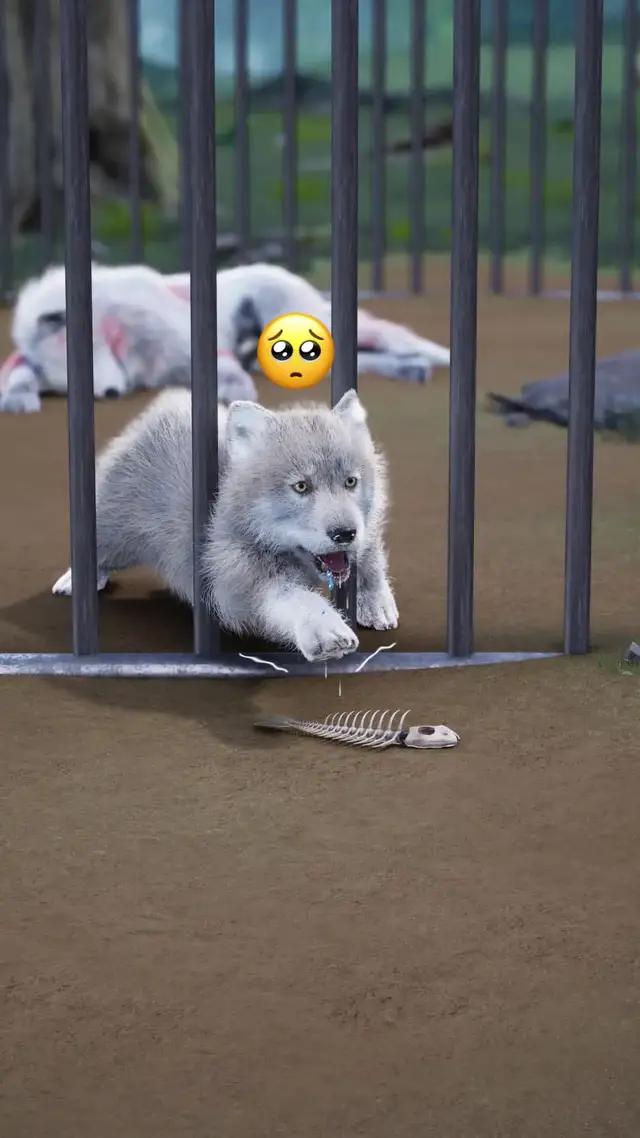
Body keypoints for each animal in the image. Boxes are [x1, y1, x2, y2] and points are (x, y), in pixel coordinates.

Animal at [52, 388, 398, 661]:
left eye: (351, 481)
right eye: (301, 486)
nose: (344, 533)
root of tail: (168, 403)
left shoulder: (367, 529)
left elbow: (369, 557)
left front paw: (374, 601)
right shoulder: (235, 578)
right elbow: (289, 596)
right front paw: (325, 627)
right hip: (114, 525)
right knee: (97, 544)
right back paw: (77, 580)